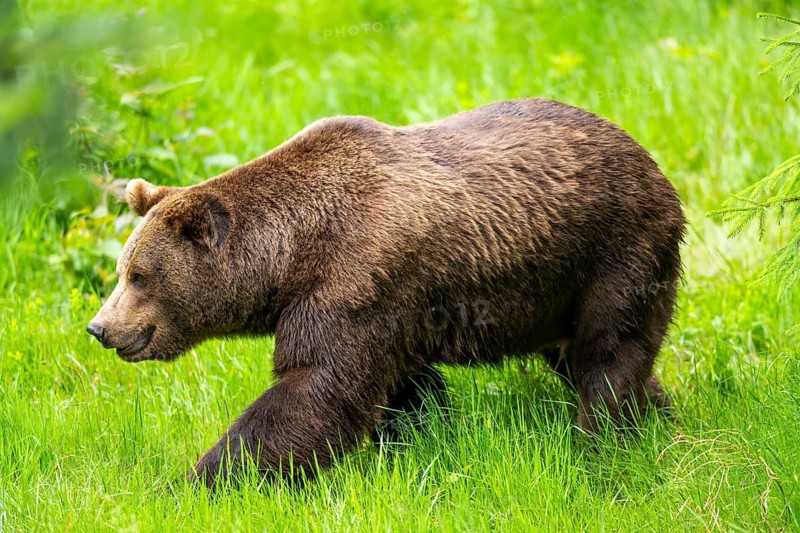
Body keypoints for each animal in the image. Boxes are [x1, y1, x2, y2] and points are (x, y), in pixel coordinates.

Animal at [86, 98, 685, 487]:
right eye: (120, 270)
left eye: (139, 275)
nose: (100, 327)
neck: (292, 258)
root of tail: (647, 157)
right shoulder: (394, 311)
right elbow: (405, 391)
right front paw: (415, 445)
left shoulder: (354, 285)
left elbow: (315, 389)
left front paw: (194, 481)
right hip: (556, 288)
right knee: (581, 355)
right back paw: (663, 419)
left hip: (615, 250)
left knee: (606, 354)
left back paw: (603, 442)